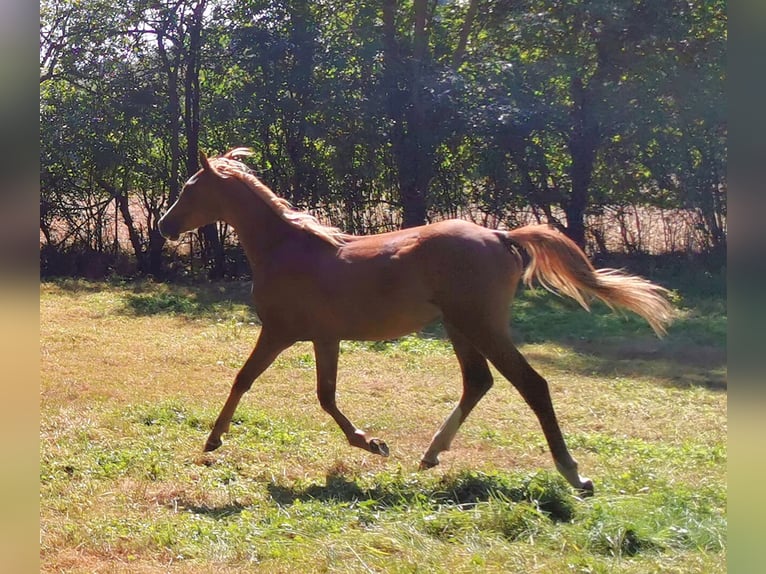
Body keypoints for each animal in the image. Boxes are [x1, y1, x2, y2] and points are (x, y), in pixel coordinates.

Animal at [159, 147, 676, 496]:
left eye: (189, 189)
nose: (164, 227)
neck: (287, 249)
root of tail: (500, 235)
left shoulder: (280, 332)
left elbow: (245, 379)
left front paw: (213, 439)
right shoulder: (325, 337)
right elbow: (325, 396)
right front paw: (371, 443)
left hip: (481, 325)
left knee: (531, 384)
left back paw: (573, 473)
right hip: (459, 326)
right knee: (478, 382)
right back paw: (431, 453)